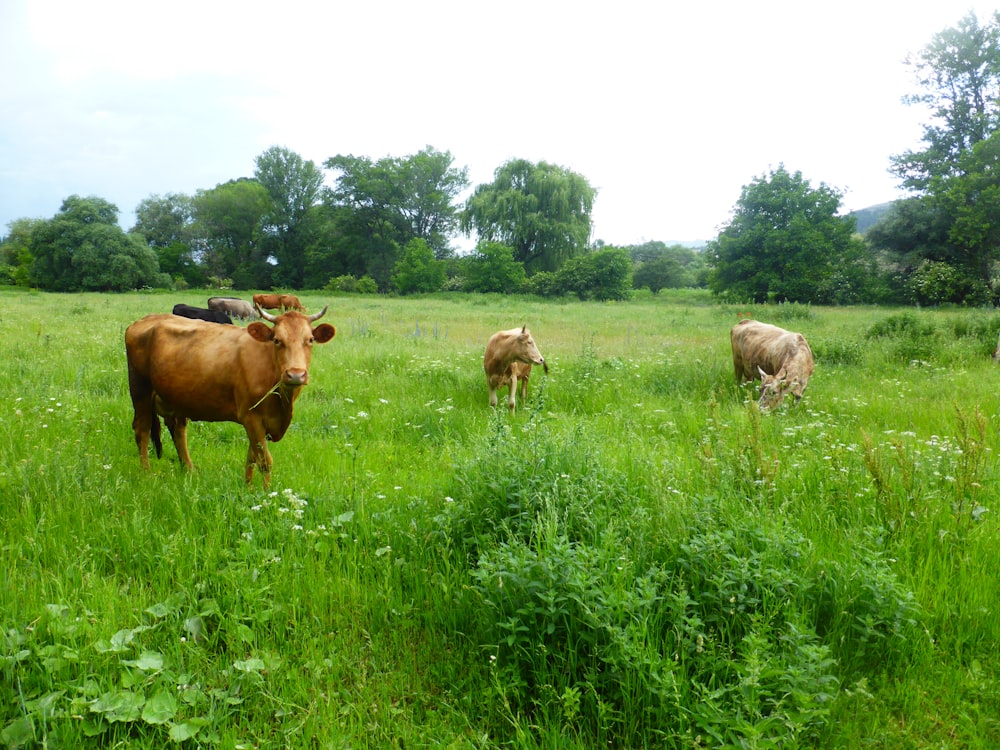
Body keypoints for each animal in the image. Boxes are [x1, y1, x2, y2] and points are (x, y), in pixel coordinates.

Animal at [124, 306, 336, 488]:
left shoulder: (260, 421)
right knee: (142, 429)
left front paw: (248, 487)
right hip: (140, 390)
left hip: (177, 398)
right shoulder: (251, 416)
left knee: (178, 431)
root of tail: (145, 320)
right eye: (277, 340)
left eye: (310, 339)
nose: (295, 374)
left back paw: (189, 470)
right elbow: (264, 460)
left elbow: (252, 457)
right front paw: (267, 494)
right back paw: (146, 473)